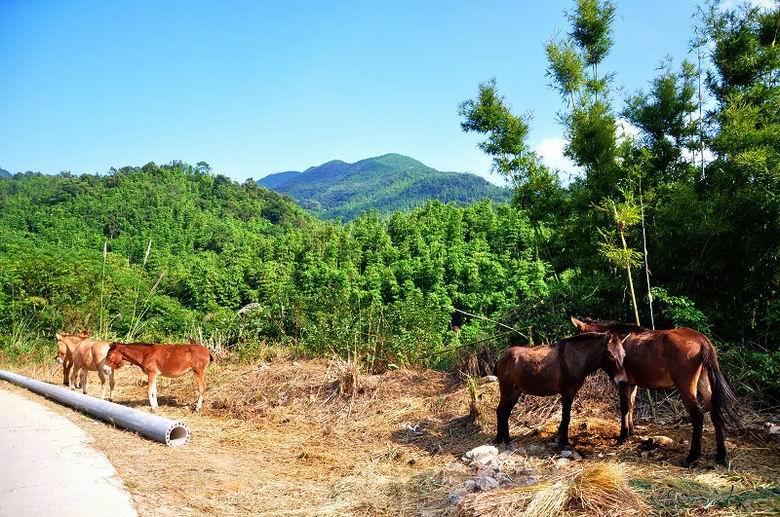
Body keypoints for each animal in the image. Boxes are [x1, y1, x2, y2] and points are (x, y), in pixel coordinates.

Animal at [494, 332, 628, 449]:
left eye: (624, 354)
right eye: (610, 354)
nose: (622, 382)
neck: (575, 359)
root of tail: (502, 357)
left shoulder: (571, 393)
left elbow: (565, 418)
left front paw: (559, 436)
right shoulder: (567, 393)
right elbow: (566, 417)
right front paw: (564, 441)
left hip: (515, 392)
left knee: (505, 412)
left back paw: (503, 439)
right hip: (507, 391)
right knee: (501, 411)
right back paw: (503, 439)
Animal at [570, 317, 740, 466]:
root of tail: (702, 340)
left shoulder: (622, 383)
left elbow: (624, 408)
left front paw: (623, 436)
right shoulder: (632, 384)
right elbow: (631, 406)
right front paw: (631, 432)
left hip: (685, 387)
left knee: (698, 416)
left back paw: (692, 457)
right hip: (705, 384)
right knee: (715, 414)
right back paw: (720, 455)